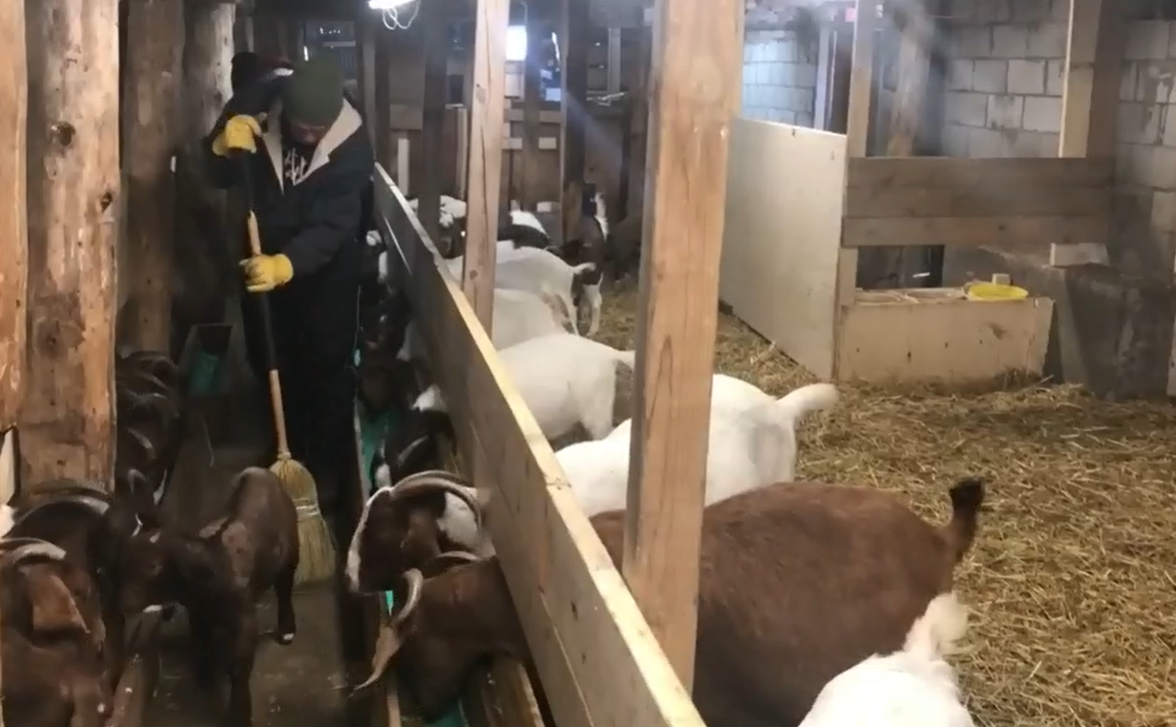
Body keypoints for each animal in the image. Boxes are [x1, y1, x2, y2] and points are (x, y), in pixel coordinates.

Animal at [118, 468, 298, 719]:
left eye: (153, 566)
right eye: (126, 555)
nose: (124, 601)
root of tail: (260, 472)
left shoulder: (245, 618)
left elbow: (238, 666)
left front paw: (239, 713)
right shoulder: (197, 612)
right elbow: (201, 641)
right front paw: (205, 677)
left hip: (291, 551)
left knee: (285, 586)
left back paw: (287, 630)